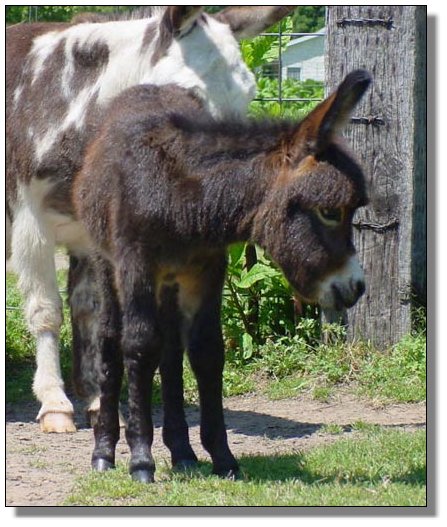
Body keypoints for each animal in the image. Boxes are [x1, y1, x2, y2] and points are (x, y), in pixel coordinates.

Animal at [6, 5, 294, 433]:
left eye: (248, 95)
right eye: (191, 96)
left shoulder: (94, 235)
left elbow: (93, 312)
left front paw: (97, 398)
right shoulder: (31, 225)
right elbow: (46, 312)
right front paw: (55, 403)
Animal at [72, 70, 371, 482]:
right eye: (329, 211)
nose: (357, 287)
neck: (184, 197)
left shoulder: (208, 270)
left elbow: (207, 352)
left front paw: (222, 457)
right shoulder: (136, 266)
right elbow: (139, 346)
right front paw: (141, 459)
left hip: (171, 282)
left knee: (170, 349)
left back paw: (182, 452)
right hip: (107, 263)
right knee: (110, 340)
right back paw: (104, 452)